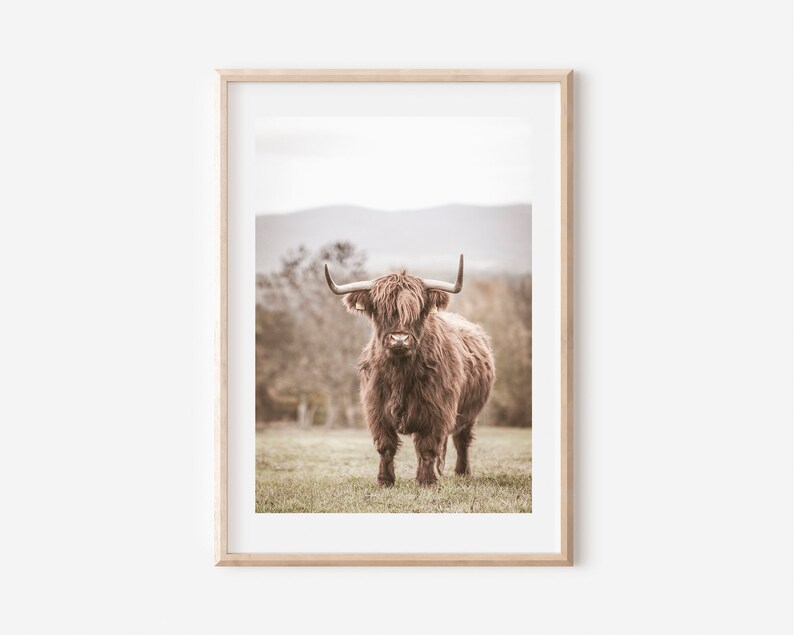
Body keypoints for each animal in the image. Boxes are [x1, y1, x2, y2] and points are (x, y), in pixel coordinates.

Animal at [324, 255, 495, 487]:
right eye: (381, 310)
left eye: (418, 310)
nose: (399, 339)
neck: (400, 373)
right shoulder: (376, 410)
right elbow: (386, 447)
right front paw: (385, 481)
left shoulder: (437, 410)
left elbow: (428, 447)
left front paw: (427, 481)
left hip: (470, 412)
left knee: (462, 440)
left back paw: (462, 472)